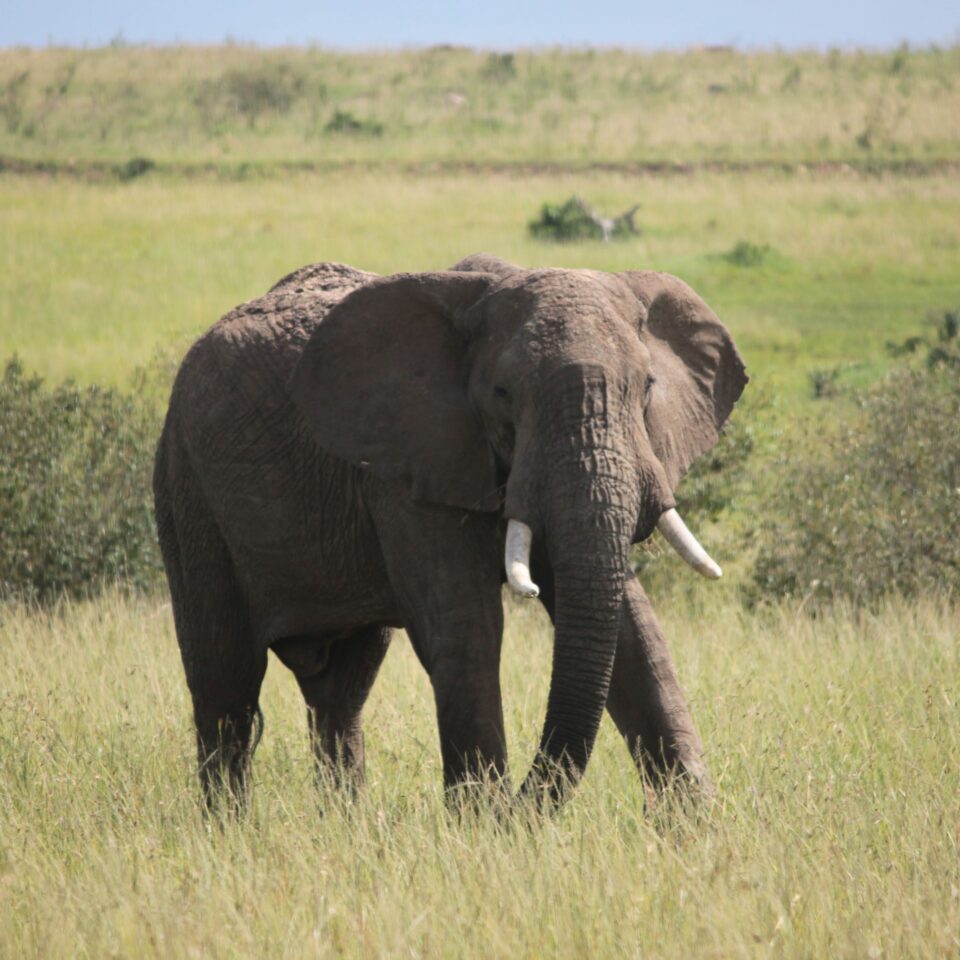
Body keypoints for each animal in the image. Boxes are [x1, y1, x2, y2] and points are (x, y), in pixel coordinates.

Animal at [154, 255, 748, 808]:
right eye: (503, 393)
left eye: (647, 386)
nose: (523, 805)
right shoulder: (409, 465)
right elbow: (467, 627)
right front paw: (487, 829)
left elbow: (630, 627)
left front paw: (694, 826)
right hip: (186, 485)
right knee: (225, 684)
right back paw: (229, 828)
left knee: (341, 690)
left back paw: (347, 825)